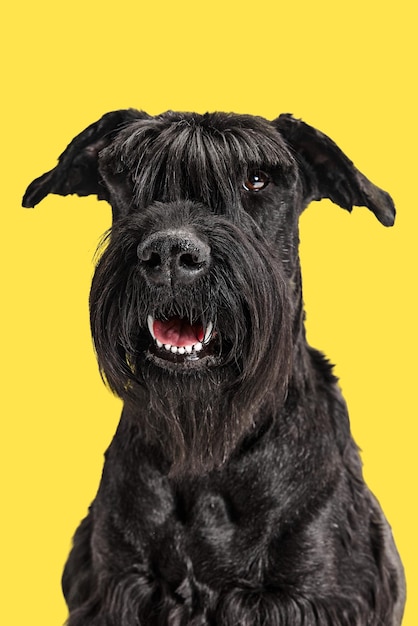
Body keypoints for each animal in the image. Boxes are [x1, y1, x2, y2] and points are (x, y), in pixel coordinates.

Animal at [22, 109, 404, 620]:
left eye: (256, 178)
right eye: (128, 174)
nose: (169, 254)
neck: (207, 456)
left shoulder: (314, 594)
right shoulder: (118, 584)